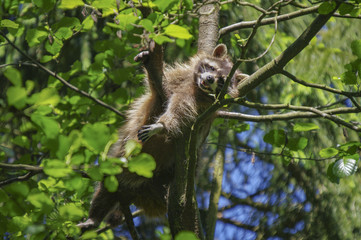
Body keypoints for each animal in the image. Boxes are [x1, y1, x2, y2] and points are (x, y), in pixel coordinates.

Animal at [78, 43, 248, 231]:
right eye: (211, 68)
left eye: (221, 80)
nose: (210, 79)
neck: (197, 87)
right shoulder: (180, 78)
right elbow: (157, 88)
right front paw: (150, 61)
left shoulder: (200, 105)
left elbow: (180, 110)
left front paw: (162, 126)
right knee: (107, 184)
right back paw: (94, 216)